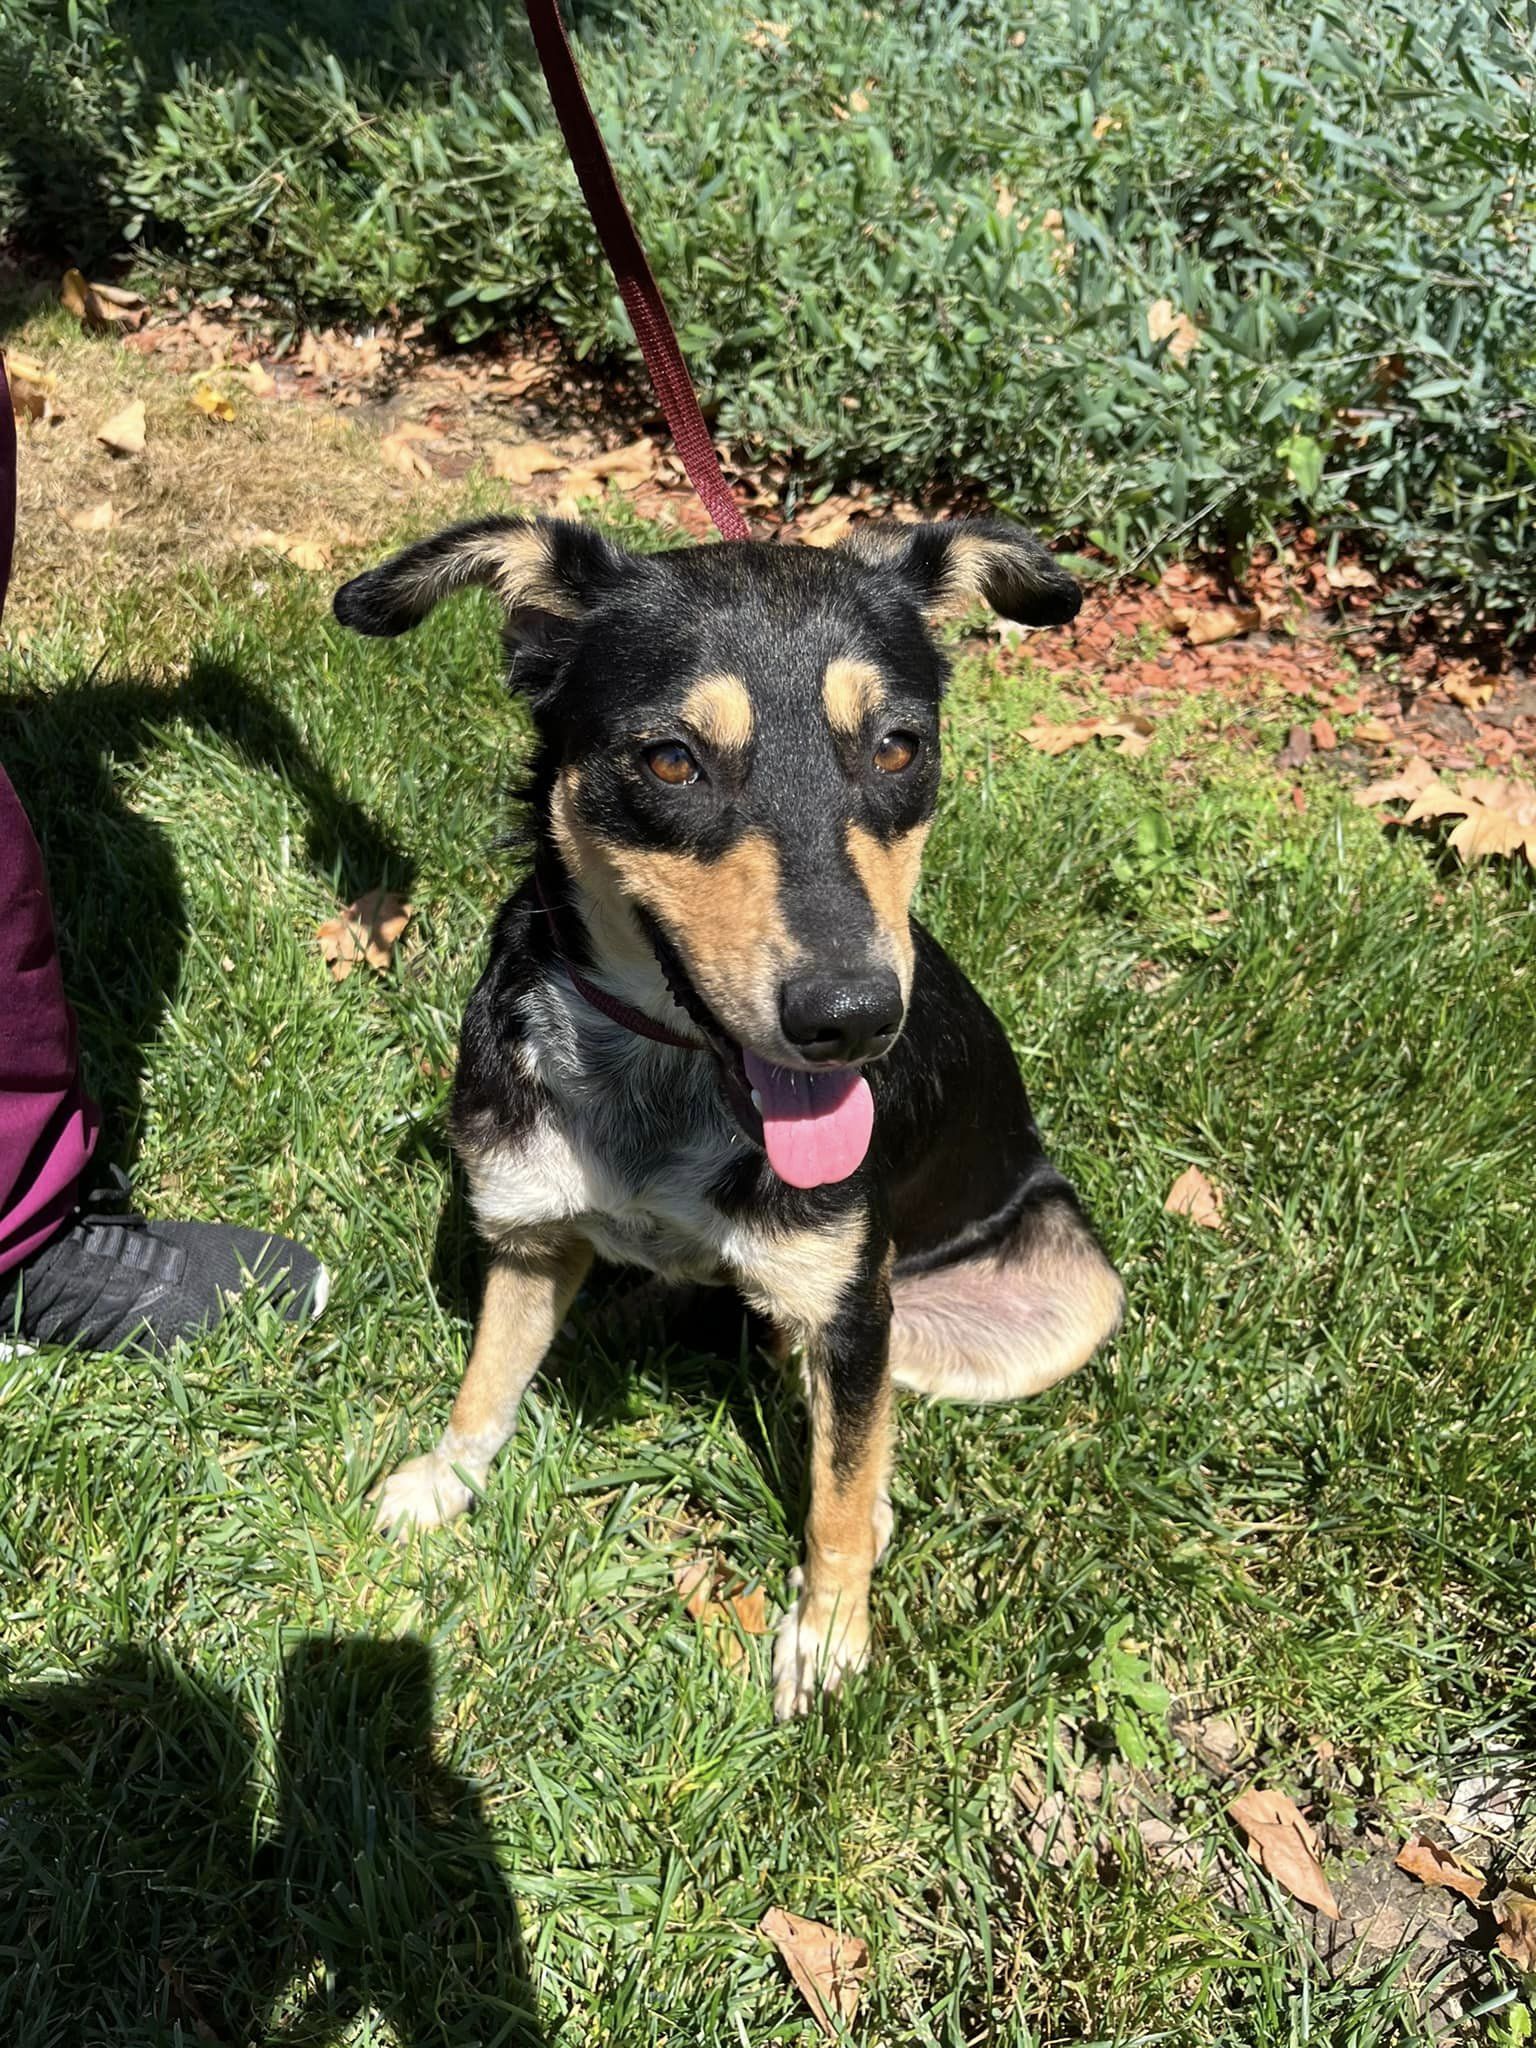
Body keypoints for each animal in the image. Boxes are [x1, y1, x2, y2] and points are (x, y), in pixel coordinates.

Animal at [335, 512, 1122, 1712]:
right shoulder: (527, 1231)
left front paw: (829, 1635)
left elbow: (838, 1487)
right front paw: (444, 1477)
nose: (852, 1018)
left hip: (1054, 1296)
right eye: (672, 758)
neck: (667, 1073)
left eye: (899, 747)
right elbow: (487, 1379)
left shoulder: (850, 1311)